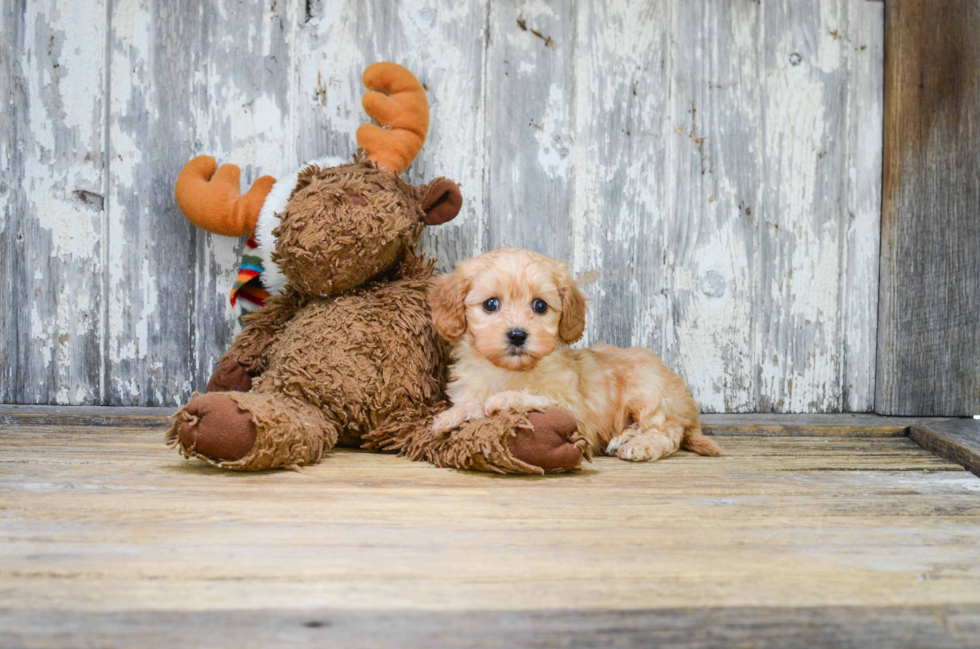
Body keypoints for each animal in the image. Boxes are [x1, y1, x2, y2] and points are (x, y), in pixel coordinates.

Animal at [428, 246, 720, 464]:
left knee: (667, 430)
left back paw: (638, 445)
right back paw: (623, 437)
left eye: (540, 306)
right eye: (490, 304)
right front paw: (451, 416)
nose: (517, 335)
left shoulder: (573, 408)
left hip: (647, 391)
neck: (508, 370)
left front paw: (502, 399)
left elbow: (532, 394)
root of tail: (689, 409)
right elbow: (473, 402)